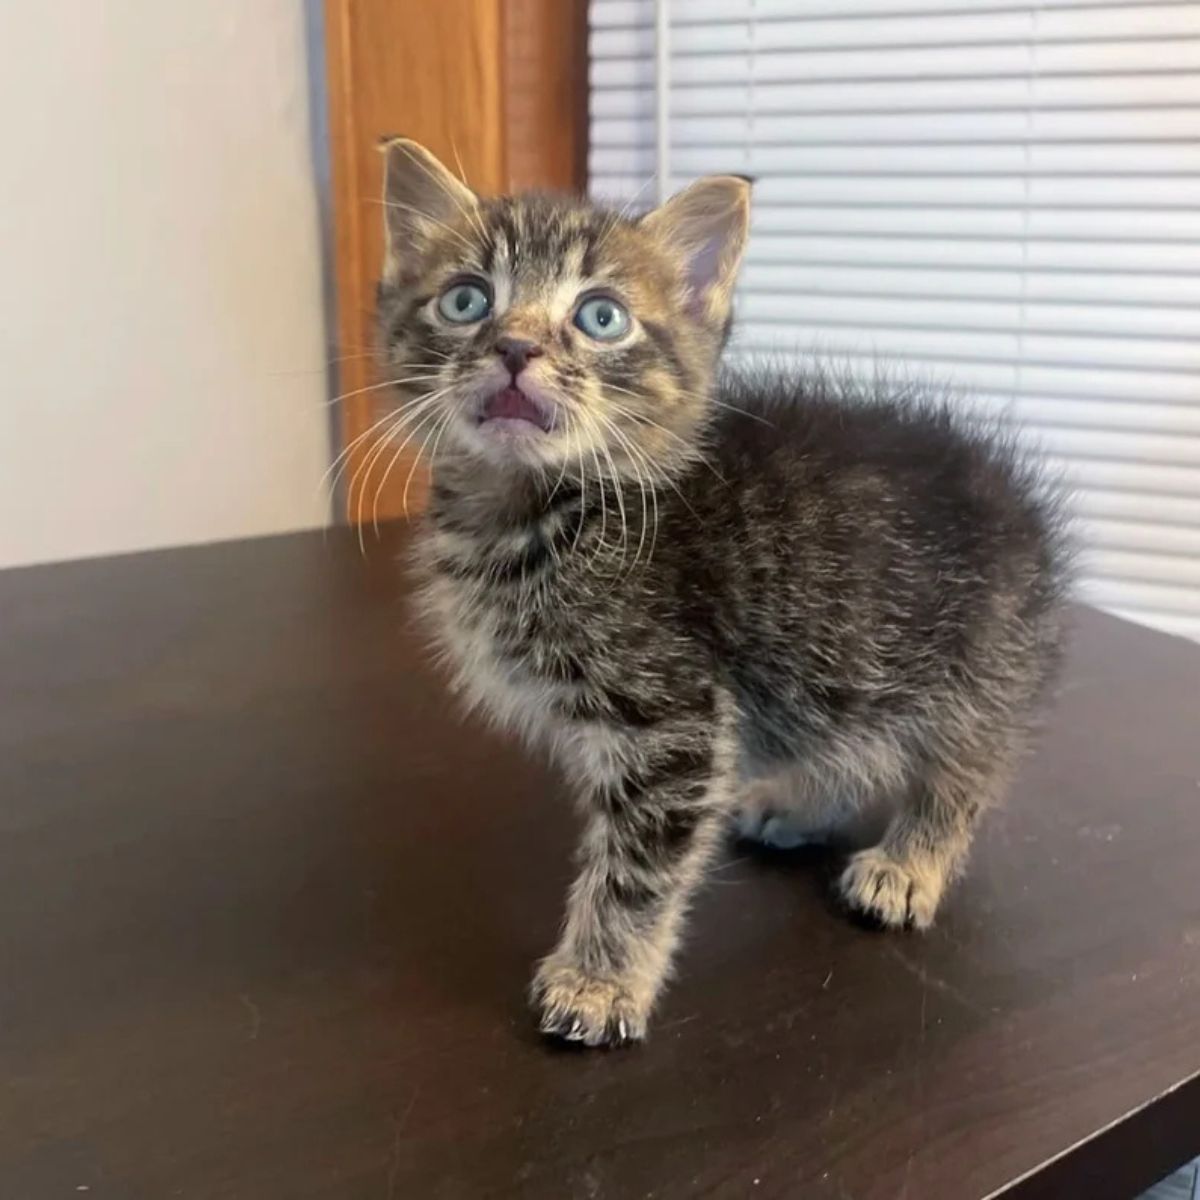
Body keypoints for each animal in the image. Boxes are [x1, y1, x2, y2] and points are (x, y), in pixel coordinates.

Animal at [374, 136, 1070, 1046]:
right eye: (466, 300)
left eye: (600, 317)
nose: (516, 348)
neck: (538, 511)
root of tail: (1009, 490)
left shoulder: (671, 718)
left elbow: (635, 868)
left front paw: (600, 982)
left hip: (979, 664)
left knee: (962, 769)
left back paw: (909, 861)